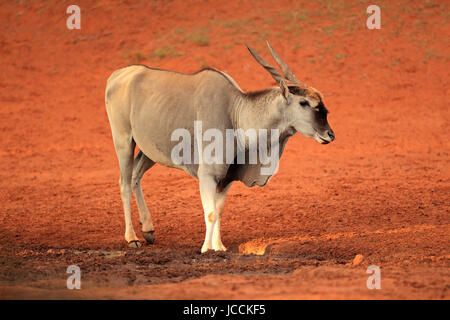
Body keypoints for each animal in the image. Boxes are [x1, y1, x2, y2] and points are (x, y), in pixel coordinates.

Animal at [103, 42, 332, 252]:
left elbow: (219, 211)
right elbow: (211, 212)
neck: (235, 113)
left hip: (148, 151)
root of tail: (117, 75)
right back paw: (132, 238)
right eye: (304, 103)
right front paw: (206, 248)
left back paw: (148, 229)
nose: (330, 134)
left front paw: (219, 246)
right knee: (124, 182)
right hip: (123, 140)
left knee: (135, 176)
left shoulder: (225, 179)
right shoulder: (207, 175)